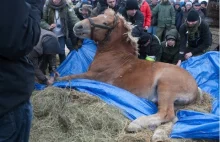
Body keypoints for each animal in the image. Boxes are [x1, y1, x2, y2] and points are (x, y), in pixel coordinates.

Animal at [56, 8, 203, 139]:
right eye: (98, 14)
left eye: (105, 23)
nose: (78, 26)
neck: (114, 56)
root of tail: (196, 88)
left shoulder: (93, 76)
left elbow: (69, 77)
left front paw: (53, 79)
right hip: (175, 103)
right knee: (173, 119)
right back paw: (156, 132)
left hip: (166, 87)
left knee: (166, 114)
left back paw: (135, 124)